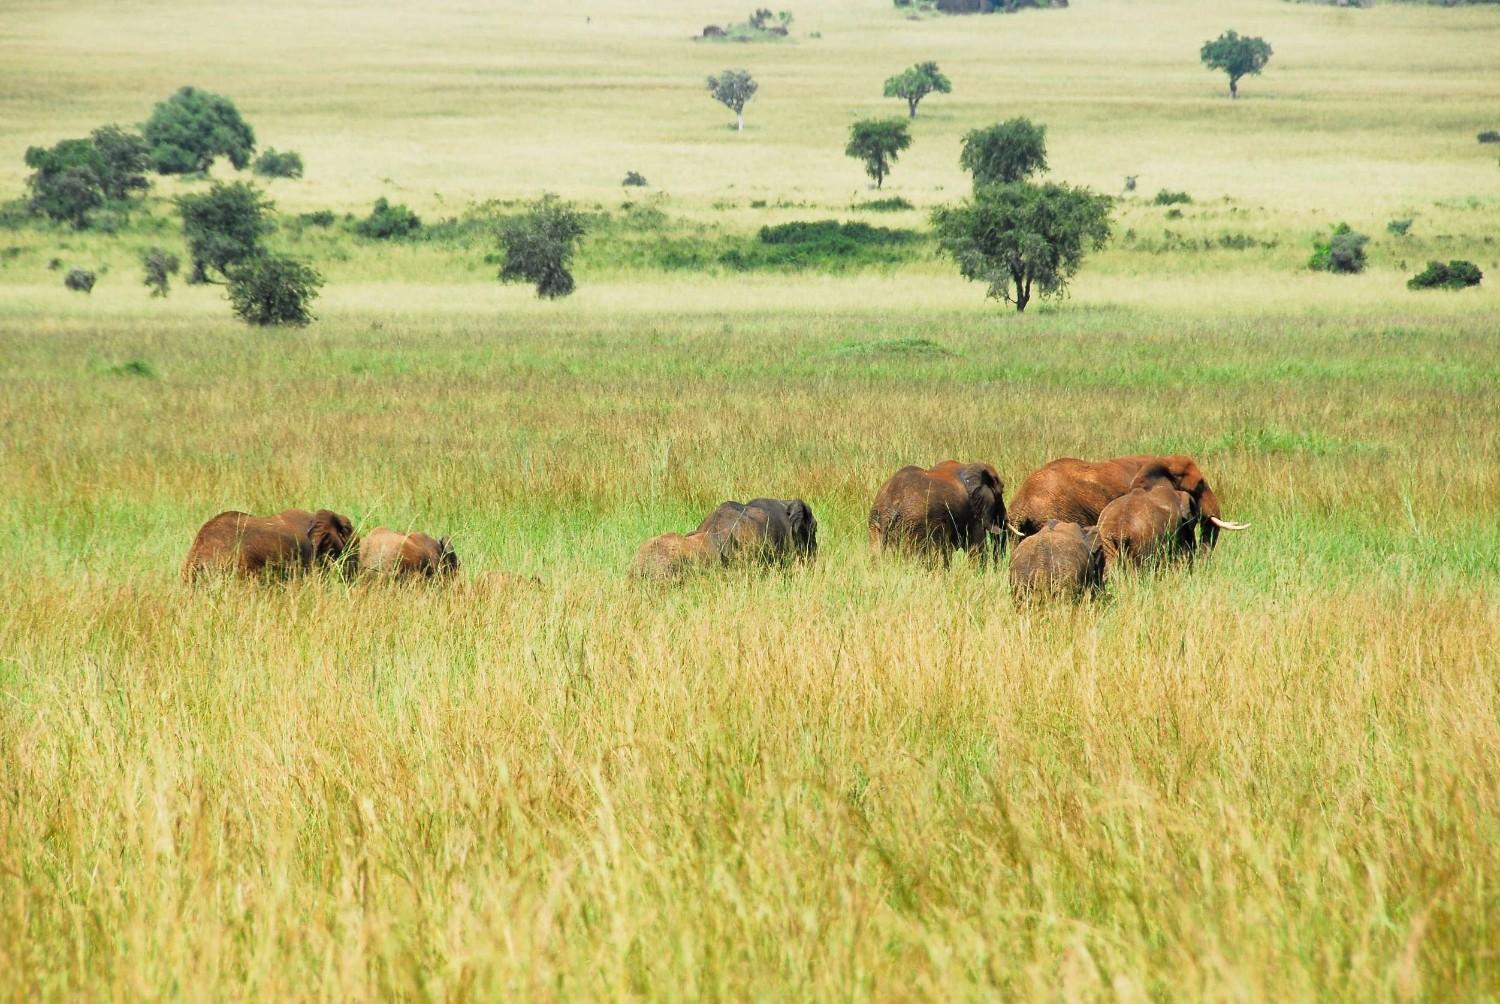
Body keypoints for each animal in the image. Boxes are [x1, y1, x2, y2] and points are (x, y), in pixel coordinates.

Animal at [869, 460, 1006, 563]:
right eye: (1001, 492)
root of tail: (889, 509)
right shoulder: (973, 514)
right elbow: (976, 550)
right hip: (914, 525)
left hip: (876, 522)